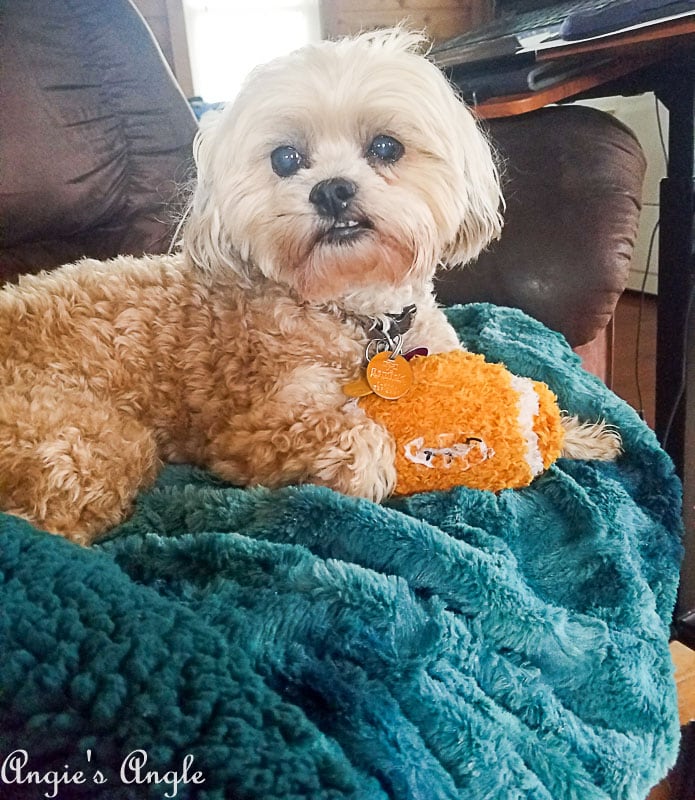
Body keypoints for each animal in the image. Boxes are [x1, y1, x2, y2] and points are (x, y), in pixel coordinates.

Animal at [0, 29, 620, 544]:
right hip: (90, 441)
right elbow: (360, 440)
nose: (332, 190)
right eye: (285, 158)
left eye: (386, 147)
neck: (360, 311)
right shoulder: (253, 425)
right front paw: (377, 464)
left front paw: (582, 436)